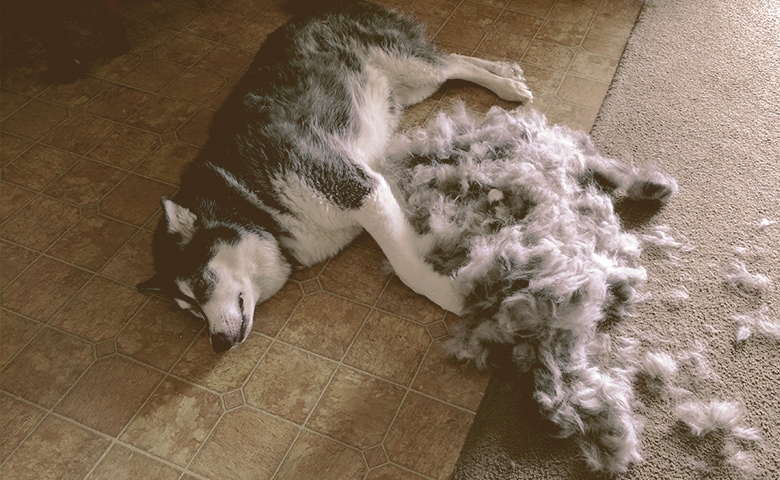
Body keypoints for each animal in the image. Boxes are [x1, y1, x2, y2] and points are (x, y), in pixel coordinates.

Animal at [137, 0, 532, 352]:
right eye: (190, 311)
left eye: (201, 284)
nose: (217, 345)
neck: (249, 203)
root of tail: (318, 7)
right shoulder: (368, 187)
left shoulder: (353, 186)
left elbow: (407, 270)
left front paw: (463, 301)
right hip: (408, 90)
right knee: (454, 61)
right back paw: (506, 71)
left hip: (411, 69)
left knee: (451, 63)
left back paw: (507, 85)